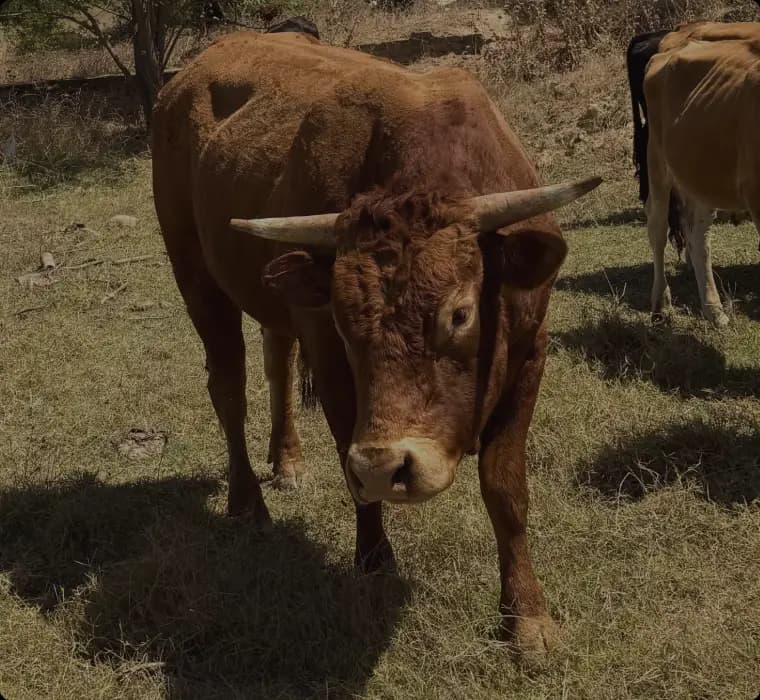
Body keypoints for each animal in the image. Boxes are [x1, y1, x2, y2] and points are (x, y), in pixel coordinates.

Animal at [151, 30, 600, 657]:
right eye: (344, 323)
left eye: (459, 313)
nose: (389, 467)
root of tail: (185, 77)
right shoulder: (332, 363)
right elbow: (351, 466)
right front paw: (372, 559)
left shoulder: (531, 353)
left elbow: (506, 487)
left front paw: (527, 617)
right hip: (195, 276)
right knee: (229, 388)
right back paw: (248, 501)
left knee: (276, 362)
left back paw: (287, 460)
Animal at [644, 21, 760, 326]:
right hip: (657, 159)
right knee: (657, 227)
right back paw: (661, 303)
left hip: (698, 174)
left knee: (698, 239)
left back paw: (713, 310)